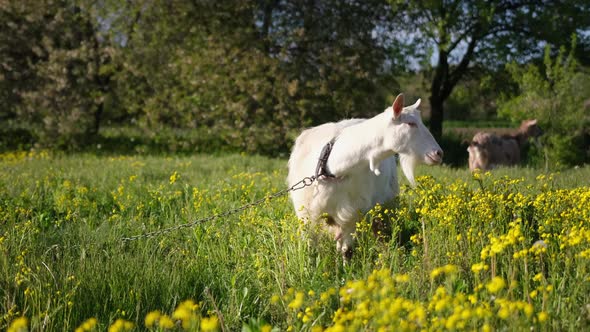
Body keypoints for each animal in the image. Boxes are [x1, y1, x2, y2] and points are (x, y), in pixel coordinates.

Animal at [286, 93, 444, 260]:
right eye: (410, 123)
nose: (438, 153)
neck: (333, 167)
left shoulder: (352, 213)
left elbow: (347, 250)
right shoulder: (306, 214)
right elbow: (310, 250)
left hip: (385, 205)